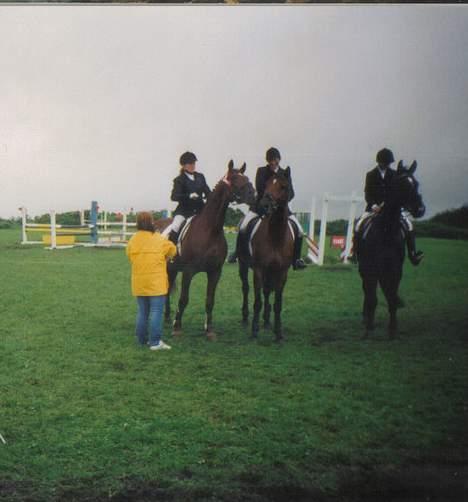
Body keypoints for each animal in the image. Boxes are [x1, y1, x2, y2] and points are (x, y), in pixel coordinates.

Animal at [166, 160, 256, 342]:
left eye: (247, 178)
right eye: (234, 179)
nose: (253, 195)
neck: (209, 229)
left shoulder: (215, 271)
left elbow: (210, 300)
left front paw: (209, 330)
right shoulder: (188, 271)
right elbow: (183, 299)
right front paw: (177, 328)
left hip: (173, 269)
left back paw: (166, 317)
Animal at [239, 169, 294, 342]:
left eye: (284, 186)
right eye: (266, 184)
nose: (264, 205)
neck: (275, 236)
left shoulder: (282, 272)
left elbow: (277, 302)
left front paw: (278, 332)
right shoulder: (258, 269)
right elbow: (257, 301)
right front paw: (254, 330)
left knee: (268, 291)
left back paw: (267, 321)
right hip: (243, 266)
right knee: (246, 288)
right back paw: (246, 318)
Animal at [356, 163, 426, 340]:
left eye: (416, 184)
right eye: (403, 185)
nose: (420, 209)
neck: (386, 229)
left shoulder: (395, 270)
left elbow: (392, 297)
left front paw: (393, 329)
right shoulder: (371, 270)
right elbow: (372, 297)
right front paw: (368, 328)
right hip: (366, 270)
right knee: (367, 292)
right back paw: (366, 318)